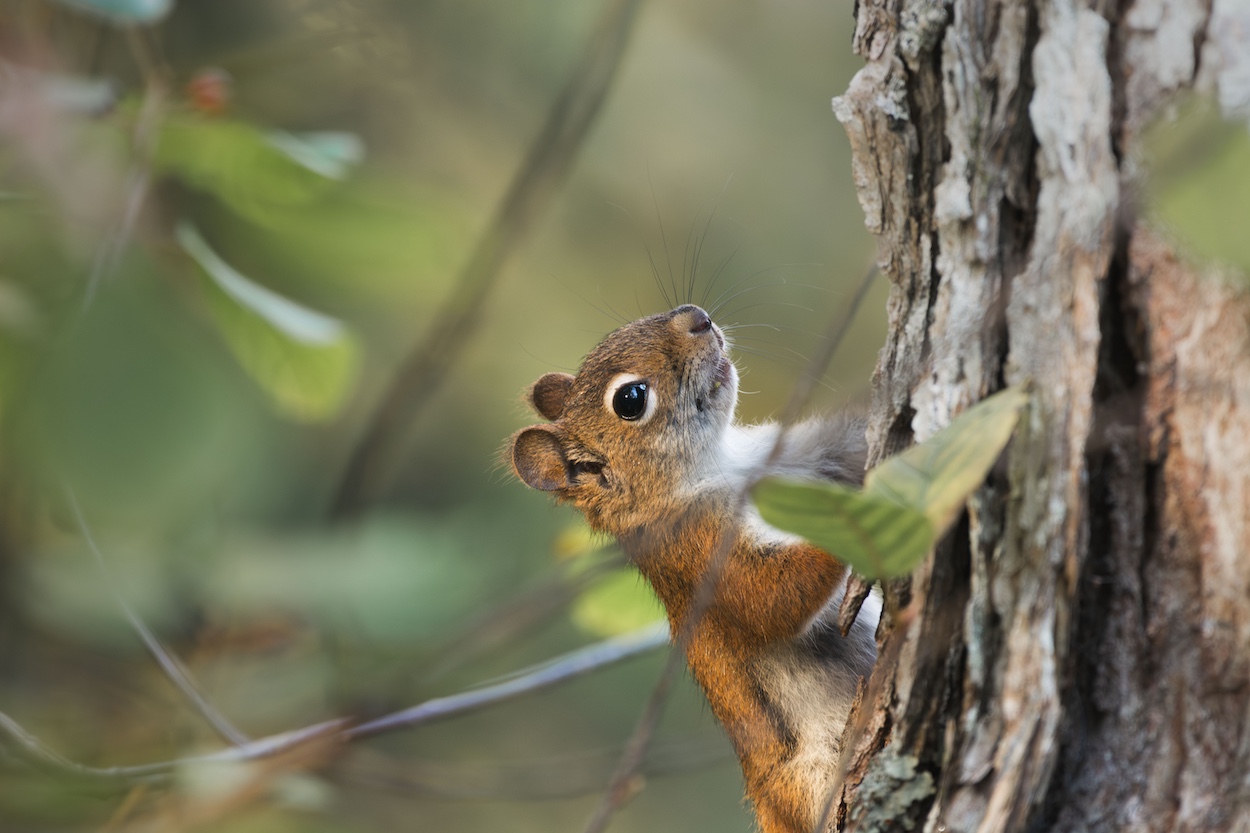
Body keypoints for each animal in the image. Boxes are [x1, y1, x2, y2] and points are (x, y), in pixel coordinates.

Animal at [507, 305, 880, 830]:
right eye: (630, 399)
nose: (696, 317)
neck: (722, 463)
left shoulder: (797, 458)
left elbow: (850, 447)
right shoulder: (699, 552)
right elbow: (771, 599)